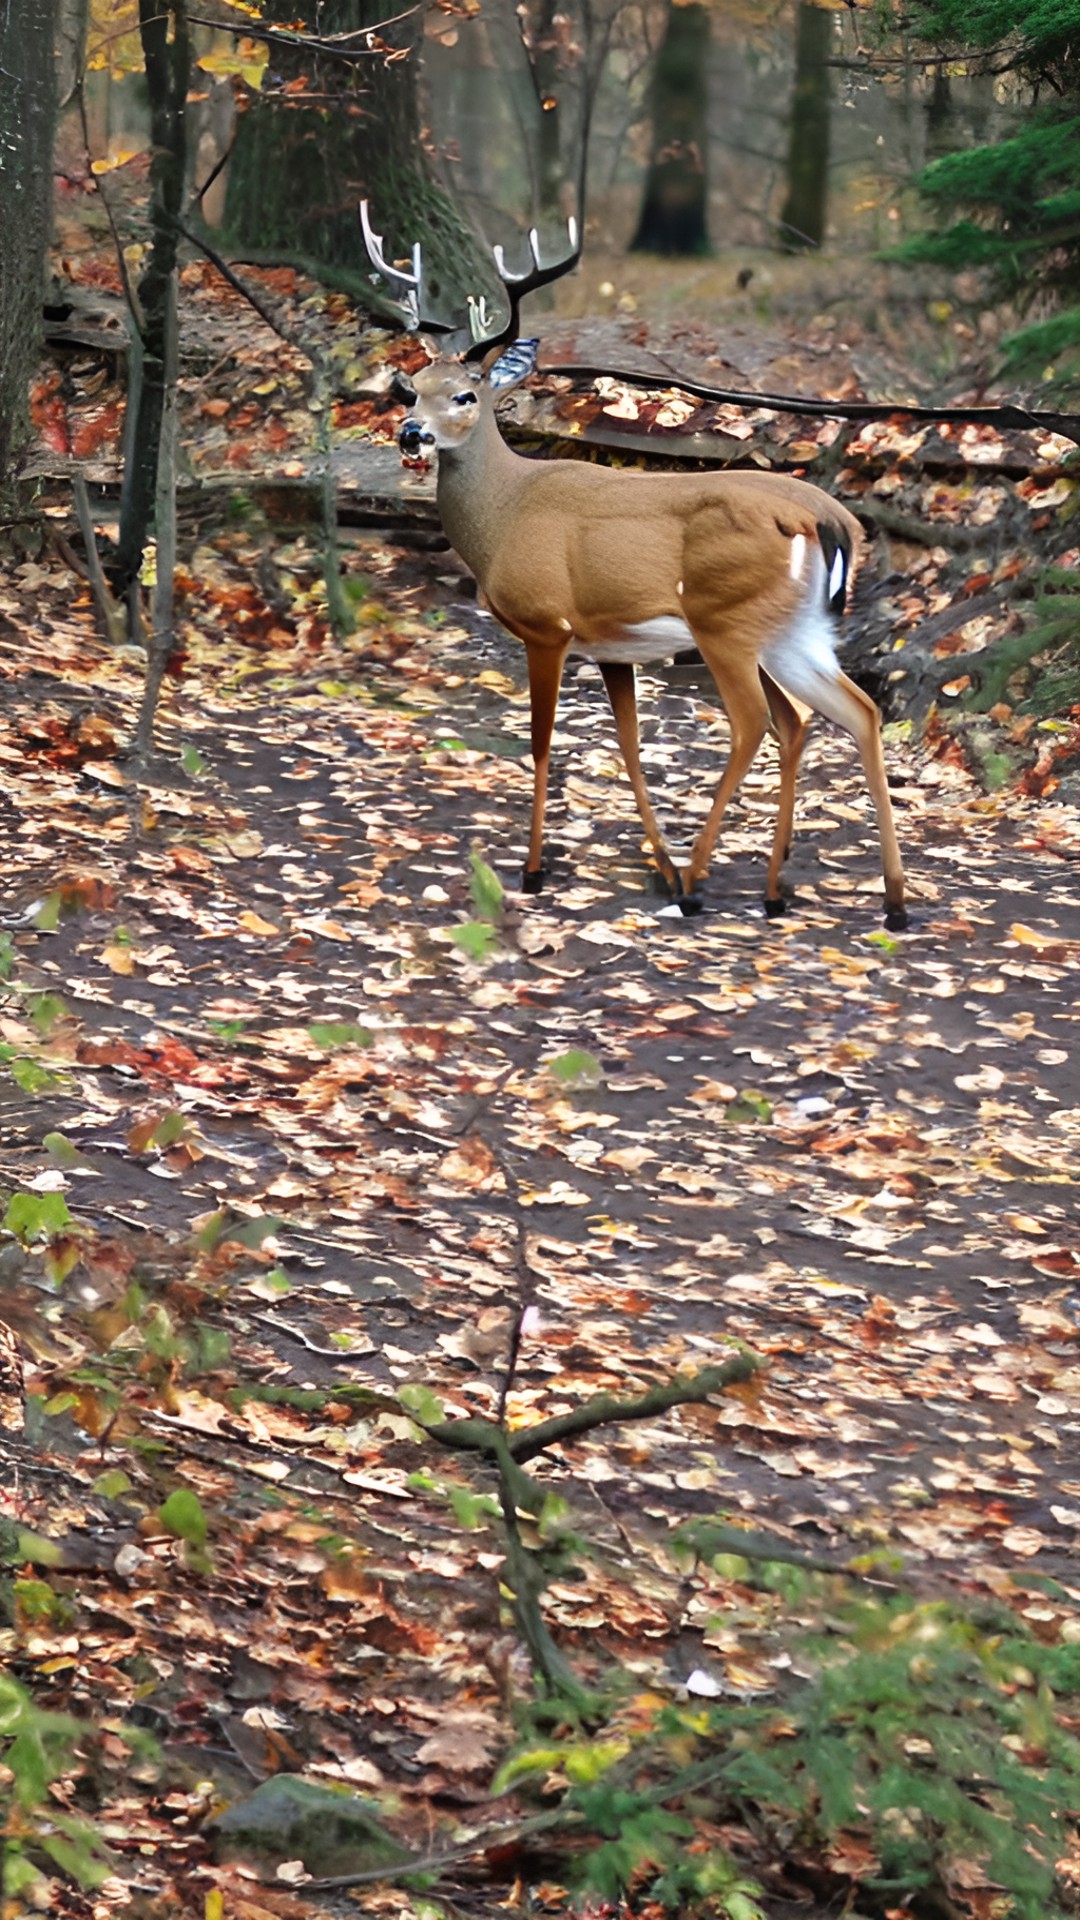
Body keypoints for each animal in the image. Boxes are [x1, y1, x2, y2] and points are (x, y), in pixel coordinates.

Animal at [359, 202, 899, 929]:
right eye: (412, 390)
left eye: (466, 395)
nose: (412, 434)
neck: (503, 515)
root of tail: (831, 518)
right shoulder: (611, 645)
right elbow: (631, 749)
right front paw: (659, 864)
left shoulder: (547, 625)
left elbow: (541, 742)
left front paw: (534, 871)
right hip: (794, 630)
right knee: (847, 713)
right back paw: (842, 898)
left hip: (723, 621)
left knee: (757, 723)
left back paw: (702, 884)